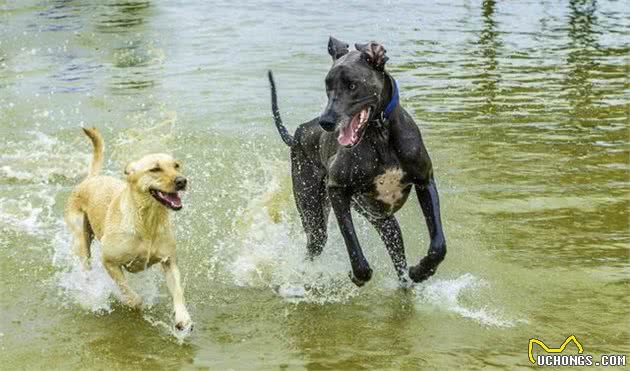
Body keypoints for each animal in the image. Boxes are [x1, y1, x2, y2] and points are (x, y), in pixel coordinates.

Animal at [270, 37, 446, 288]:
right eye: (328, 86)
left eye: (352, 85)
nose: (326, 122)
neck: (380, 134)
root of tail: (298, 134)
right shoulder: (337, 190)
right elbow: (354, 248)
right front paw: (357, 275)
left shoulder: (425, 181)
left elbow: (438, 246)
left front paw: (421, 271)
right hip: (314, 213)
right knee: (314, 243)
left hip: (384, 221)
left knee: (398, 256)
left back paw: (407, 281)